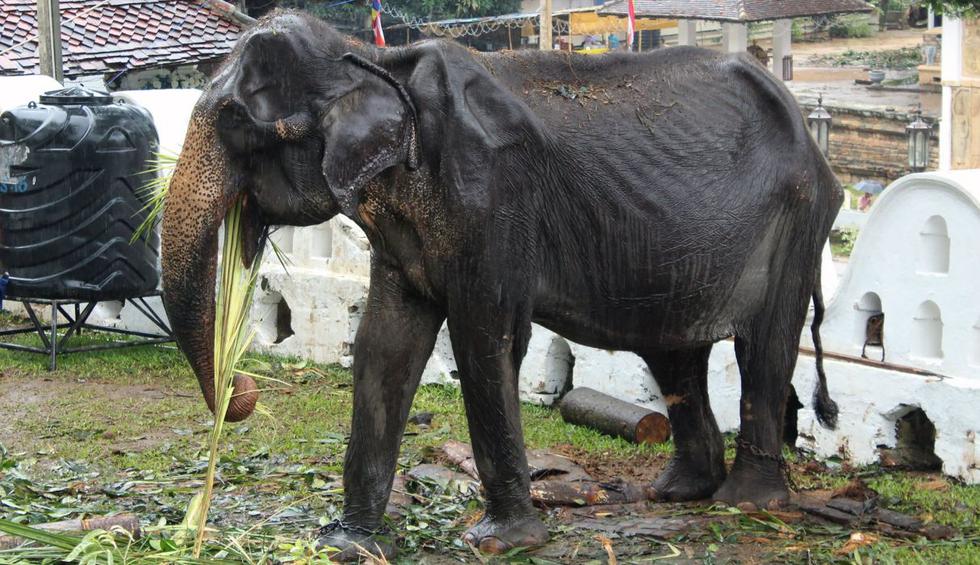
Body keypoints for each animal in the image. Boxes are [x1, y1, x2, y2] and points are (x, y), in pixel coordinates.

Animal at [161, 11, 844, 556]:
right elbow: (384, 347)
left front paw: (500, 542)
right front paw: (347, 544)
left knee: (764, 348)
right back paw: (679, 493)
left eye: (235, 124)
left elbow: (486, 341)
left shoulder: (491, 200)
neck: (375, 63)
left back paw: (746, 503)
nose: (244, 387)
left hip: (797, 220)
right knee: (674, 353)